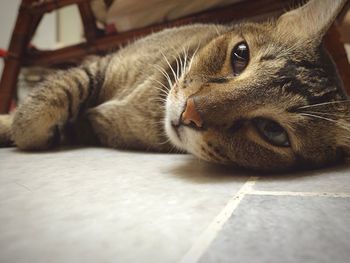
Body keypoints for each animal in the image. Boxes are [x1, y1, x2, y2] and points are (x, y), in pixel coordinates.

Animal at [0, 0, 350, 171]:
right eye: (240, 55)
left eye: (272, 131)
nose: (190, 113)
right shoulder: (102, 63)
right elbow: (43, 106)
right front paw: (18, 125)